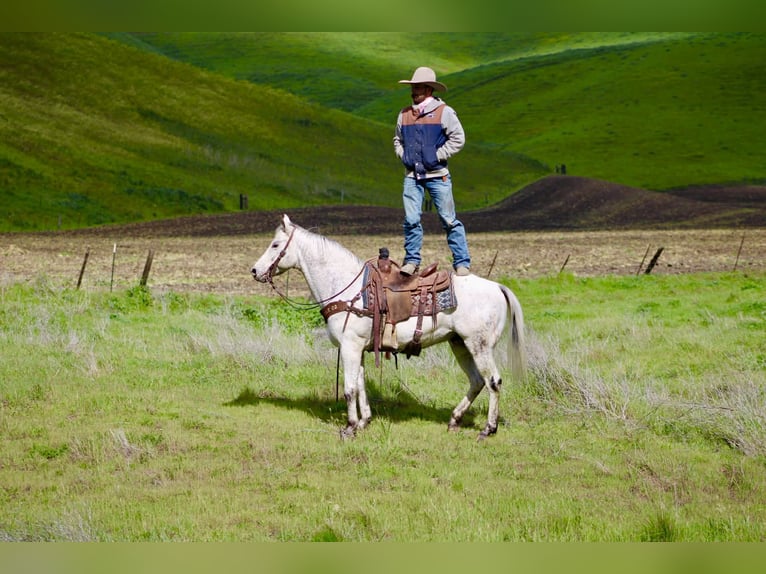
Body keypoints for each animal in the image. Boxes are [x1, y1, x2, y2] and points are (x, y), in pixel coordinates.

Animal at [251, 214, 526, 440]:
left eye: (275, 245)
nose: (254, 271)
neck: (349, 288)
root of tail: (497, 286)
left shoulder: (350, 347)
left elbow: (349, 389)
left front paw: (349, 428)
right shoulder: (360, 349)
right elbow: (361, 386)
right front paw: (364, 422)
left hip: (479, 345)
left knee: (493, 381)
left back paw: (488, 429)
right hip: (459, 344)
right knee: (477, 381)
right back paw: (454, 419)